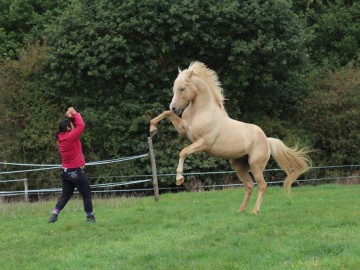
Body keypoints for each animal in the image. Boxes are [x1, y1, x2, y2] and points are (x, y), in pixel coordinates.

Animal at [150, 60, 312, 213]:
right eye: (174, 88)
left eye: (182, 88)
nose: (174, 107)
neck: (201, 112)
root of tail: (266, 140)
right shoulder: (183, 130)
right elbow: (166, 114)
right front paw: (152, 129)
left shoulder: (203, 143)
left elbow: (183, 152)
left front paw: (179, 179)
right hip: (240, 166)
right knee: (249, 186)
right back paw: (241, 210)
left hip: (256, 165)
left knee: (262, 186)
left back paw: (255, 211)